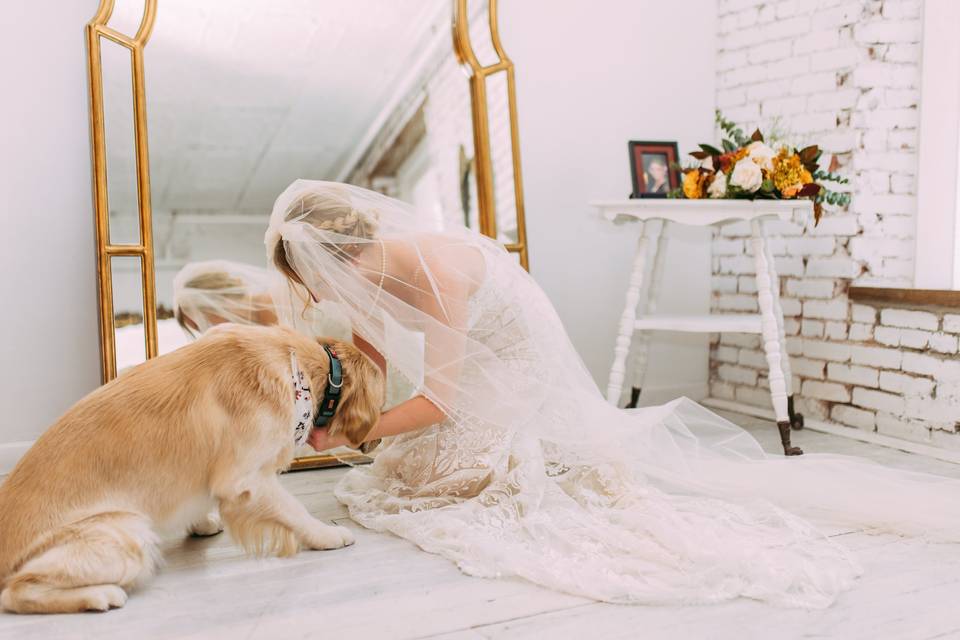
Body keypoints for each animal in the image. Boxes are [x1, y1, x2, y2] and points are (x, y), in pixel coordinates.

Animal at [0, 324, 382, 616]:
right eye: (382, 404)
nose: (378, 440)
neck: (299, 366)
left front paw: (200, 522)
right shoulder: (246, 479)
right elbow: (294, 510)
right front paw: (327, 534)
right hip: (129, 533)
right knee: (15, 592)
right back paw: (100, 595)